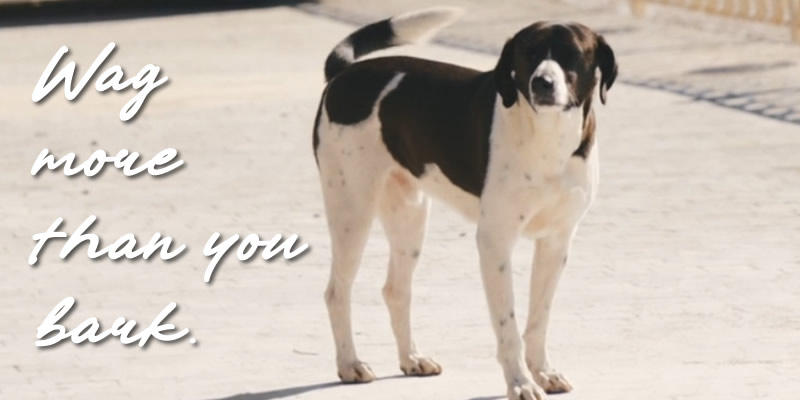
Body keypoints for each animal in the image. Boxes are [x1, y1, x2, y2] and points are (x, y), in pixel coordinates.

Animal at [312, 7, 620, 400]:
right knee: (337, 292)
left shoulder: (556, 243)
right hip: (353, 212)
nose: (542, 83)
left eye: (573, 54)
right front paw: (520, 383)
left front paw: (543, 372)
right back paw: (350, 364)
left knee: (396, 290)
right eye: (528, 53)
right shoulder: (494, 242)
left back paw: (411, 358)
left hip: (410, 217)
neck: (547, 138)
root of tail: (344, 75)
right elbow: (508, 327)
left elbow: (538, 321)